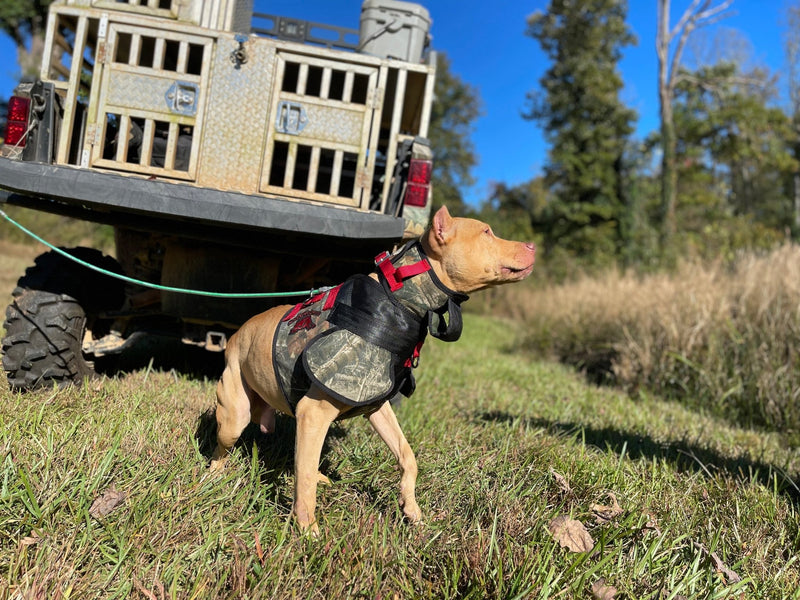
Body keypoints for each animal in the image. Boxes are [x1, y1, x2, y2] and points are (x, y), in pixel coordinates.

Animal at [211, 204, 536, 532]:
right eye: (487, 232)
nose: (533, 246)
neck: (400, 298)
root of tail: (236, 334)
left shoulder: (376, 405)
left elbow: (407, 455)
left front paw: (410, 507)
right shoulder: (314, 412)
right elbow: (304, 479)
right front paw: (307, 530)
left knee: (303, 458)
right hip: (234, 416)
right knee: (225, 448)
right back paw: (213, 476)